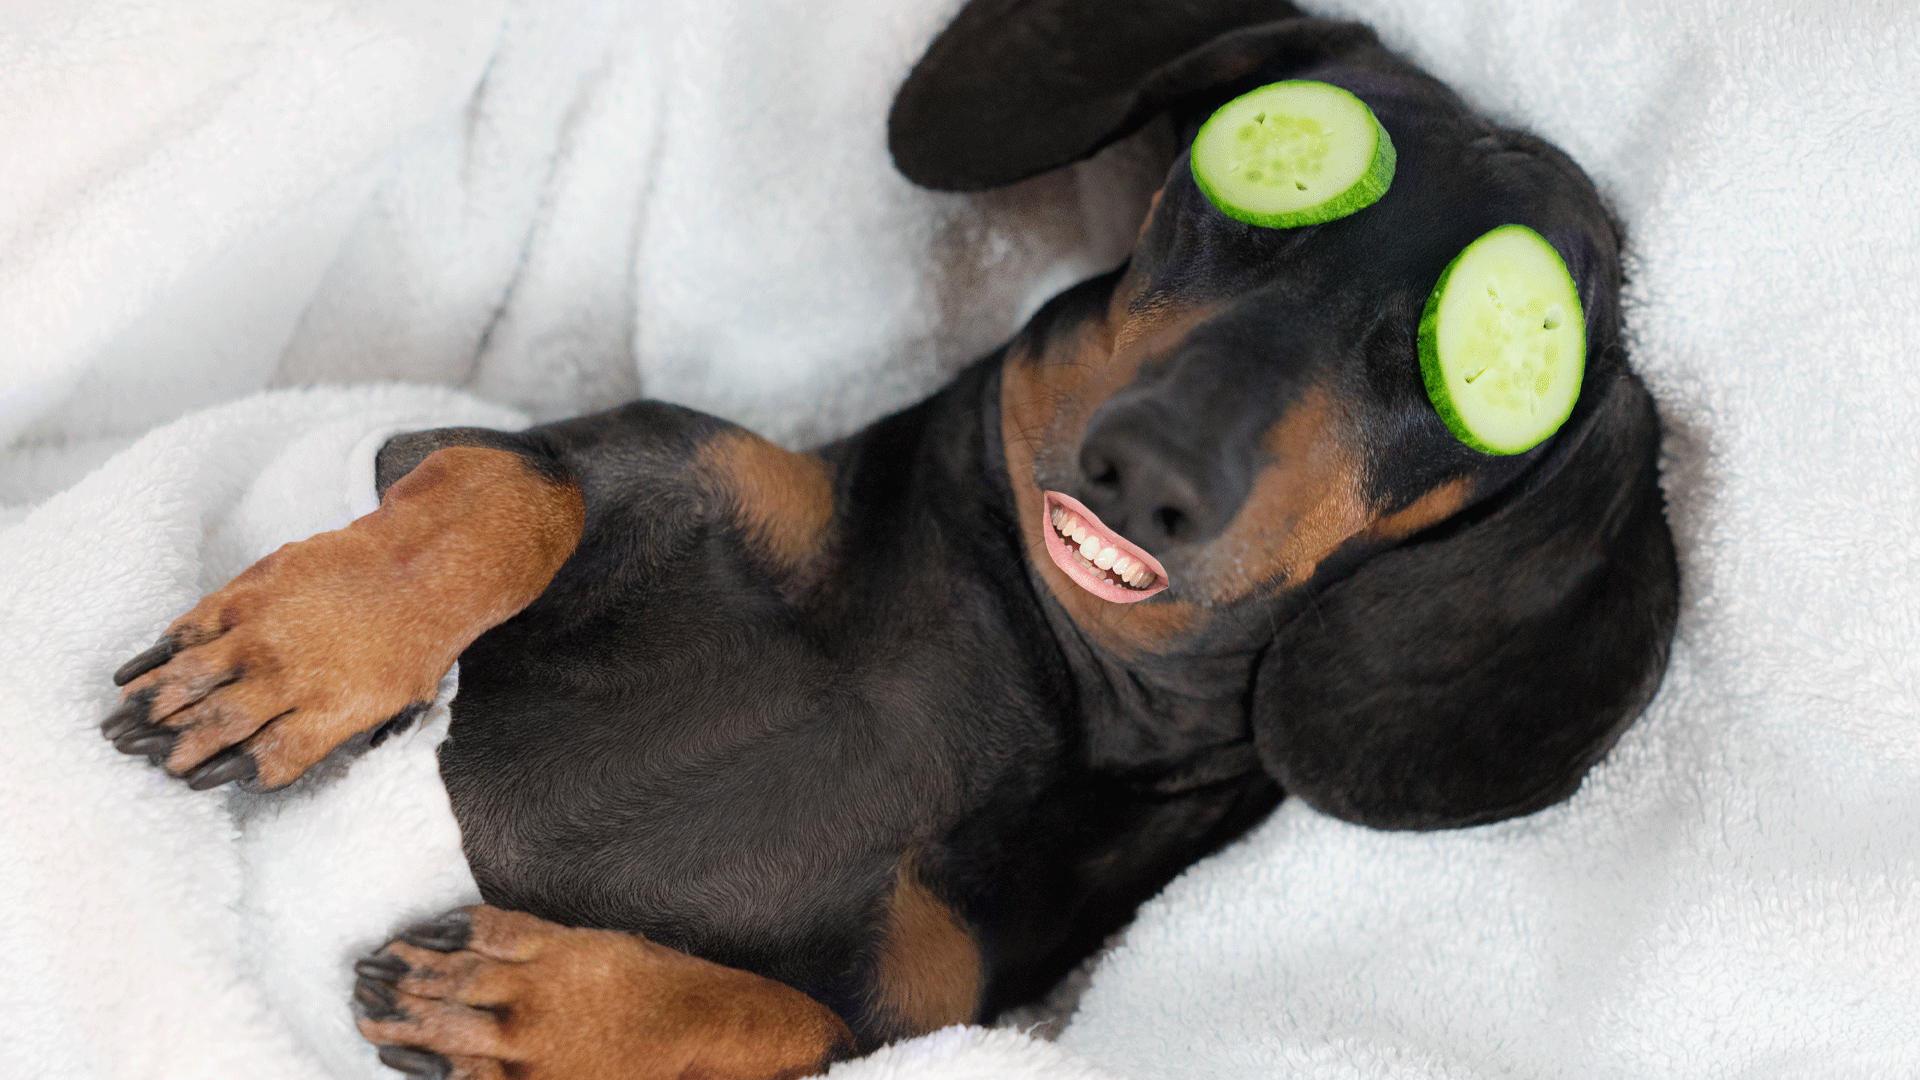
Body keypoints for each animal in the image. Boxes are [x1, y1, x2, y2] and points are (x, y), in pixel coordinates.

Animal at [97, 4, 1674, 1068]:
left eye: (1475, 364)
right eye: (1250, 178)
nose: (1146, 470)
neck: (1032, 670)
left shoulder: (925, 1015)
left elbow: (782, 1020)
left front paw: (540, 1005)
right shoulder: (579, 451)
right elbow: (514, 497)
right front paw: (296, 655)